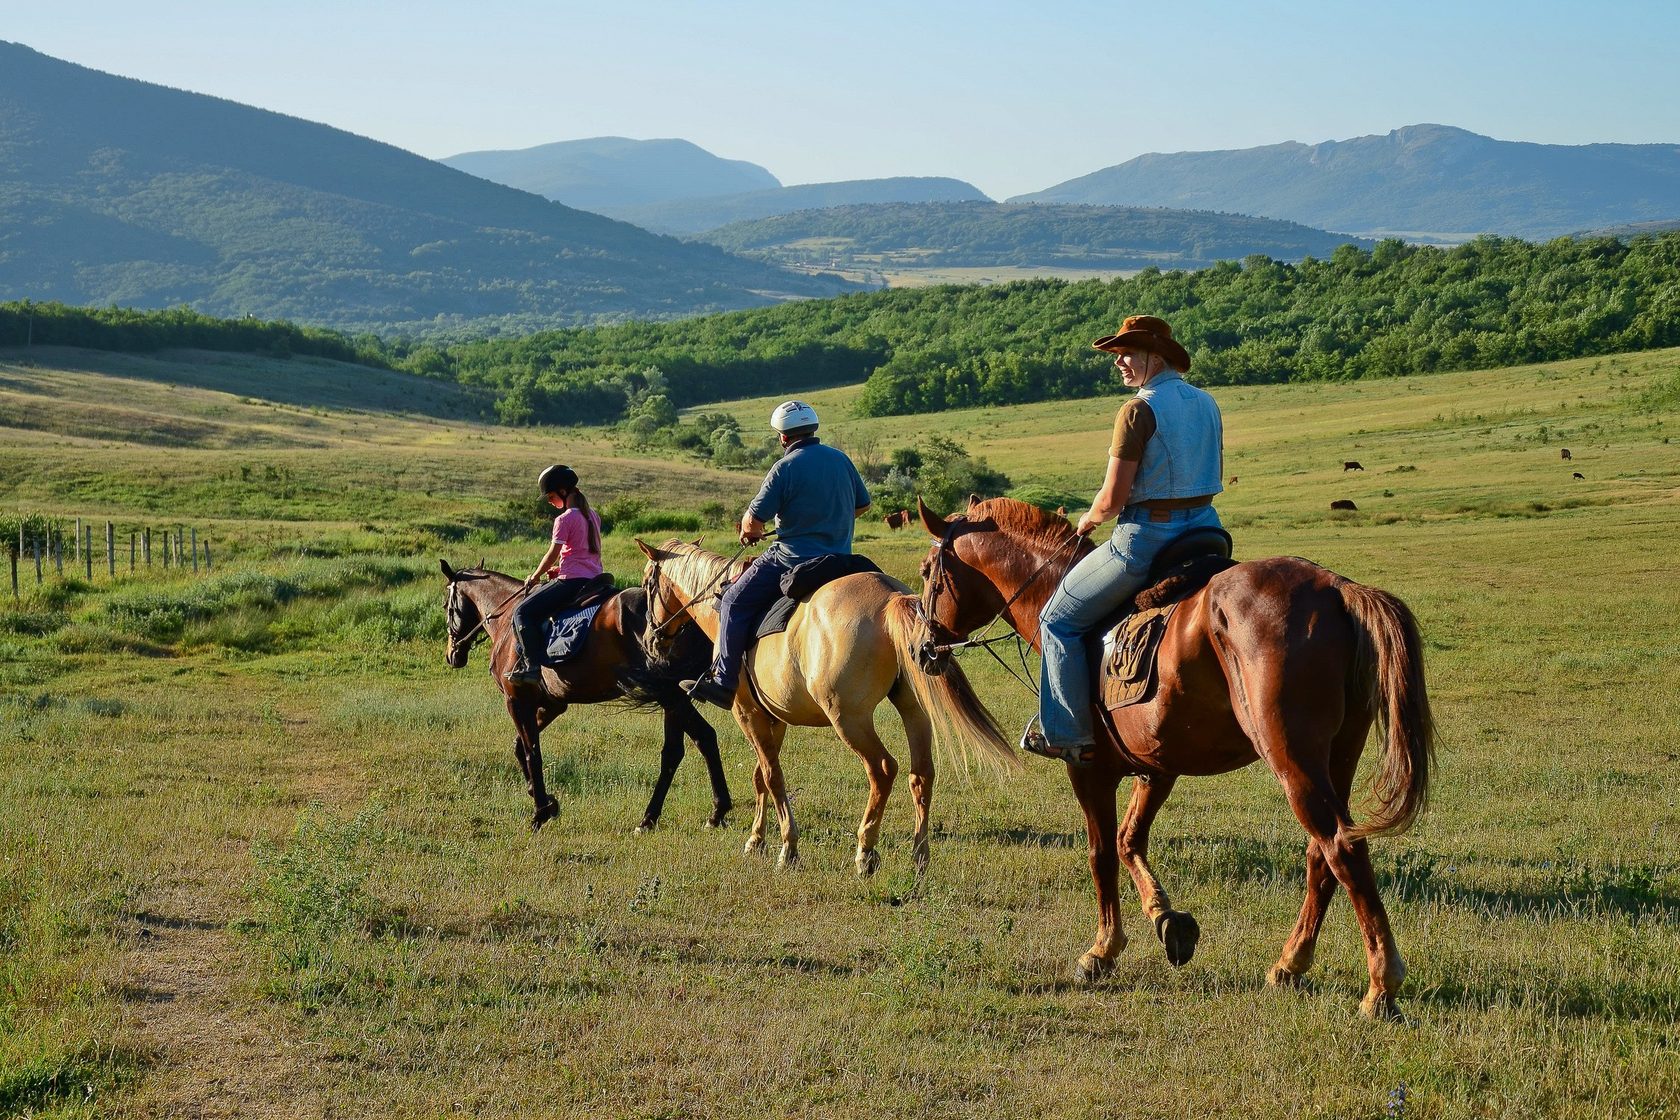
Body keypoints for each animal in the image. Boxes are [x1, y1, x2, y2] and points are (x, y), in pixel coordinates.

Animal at [440, 560, 729, 832]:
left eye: (446, 606)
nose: (452, 655)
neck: (507, 619)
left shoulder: (517, 701)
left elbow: (532, 752)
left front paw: (540, 812)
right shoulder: (552, 705)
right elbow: (520, 748)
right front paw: (547, 801)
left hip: (670, 695)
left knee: (688, 744)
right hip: (672, 696)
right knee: (691, 744)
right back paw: (695, 815)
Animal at [635, 544, 1014, 873]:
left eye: (649, 585)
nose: (651, 640)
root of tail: (891, 597)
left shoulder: (747, 713)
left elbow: (772, 776)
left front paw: (788, 847)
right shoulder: (774, 718)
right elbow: (761, 775)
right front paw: (756, 839)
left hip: (849, 719)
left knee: (883, 769)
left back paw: (865, 850)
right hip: (913, 711)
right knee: (921, 774)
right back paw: (919, 856)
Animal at [913, 497, 1438, 1014]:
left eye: (926, 571)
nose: (922, 649)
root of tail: (1337, 589)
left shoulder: (1087, 768)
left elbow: (1102, 854)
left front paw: (1102, 950)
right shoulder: (1157, 767)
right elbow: (1129, 840)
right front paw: (1168, 921)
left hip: (1293, 760)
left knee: (1341, 848)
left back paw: (1381, 984)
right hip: (1337, 758)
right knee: (1322, 854)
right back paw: (1290, 965)